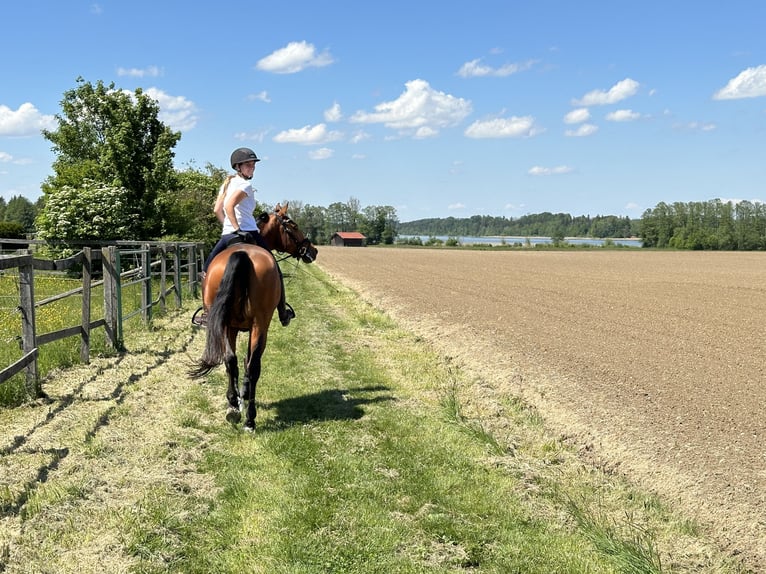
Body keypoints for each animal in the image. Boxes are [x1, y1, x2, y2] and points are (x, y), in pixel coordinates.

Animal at [190, 205, 320, 430]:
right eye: (293, 225)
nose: (312, 250)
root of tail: (242, 253)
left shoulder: (232, 327)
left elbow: (234, 361)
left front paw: (236, 398)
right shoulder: (253, 327)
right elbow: (248, 360)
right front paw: (244, 393)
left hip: (225, 323)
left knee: (230, 360)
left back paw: (233, 408)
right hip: (261, 325)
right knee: (253, 366)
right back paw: (250, 419)